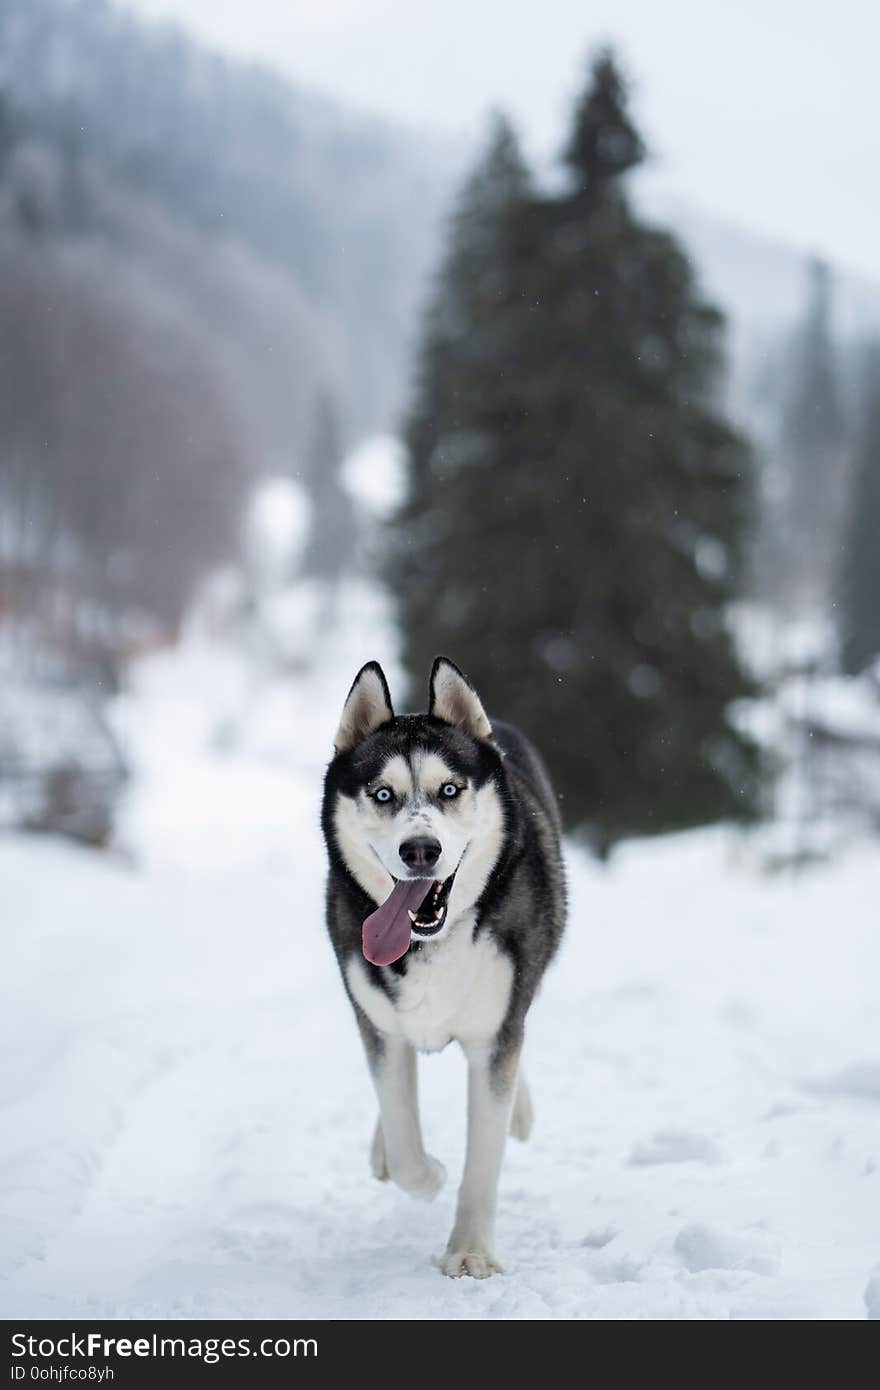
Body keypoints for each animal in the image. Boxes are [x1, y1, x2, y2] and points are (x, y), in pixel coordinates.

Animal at [321, 656, 561, 1273]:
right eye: (383, 793)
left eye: (449, 789)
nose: (420, 850)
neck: (431, 941)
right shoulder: (380, 1026)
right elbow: (403, 1131)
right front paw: (426, 1174)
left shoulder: (495, 1034)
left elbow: (484, 1155)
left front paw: (471, 1253)